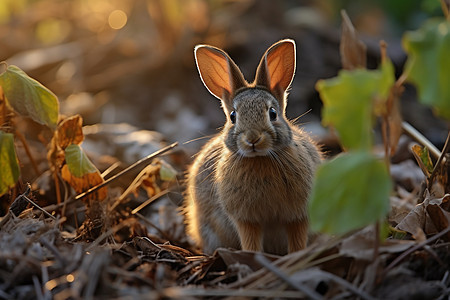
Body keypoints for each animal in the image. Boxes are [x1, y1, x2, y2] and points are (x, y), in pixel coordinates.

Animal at [185, 38, 322, 255]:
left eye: (273, 113)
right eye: (233, 116)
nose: (252, 139)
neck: (261, 159)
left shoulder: (299, 215)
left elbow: (298, 239)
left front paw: (297, 255)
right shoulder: (246, 220)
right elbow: (250, 240)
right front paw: (253, 257)